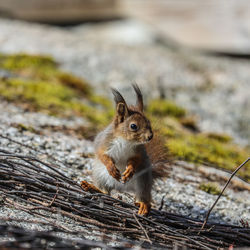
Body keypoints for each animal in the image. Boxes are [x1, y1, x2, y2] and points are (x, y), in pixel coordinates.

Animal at [81, 85, 168, 216]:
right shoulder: (103, 143)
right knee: (105, 191)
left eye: (149, 122)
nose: (150, 136)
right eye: (133, 126)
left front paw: (129, 170)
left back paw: (143, 205)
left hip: (143, 180)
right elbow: (102, 156)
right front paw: (111, 168)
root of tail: (122, 188)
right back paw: (92, 187)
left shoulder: (139, 152)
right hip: (100, 176)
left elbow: (135, 160)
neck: (126, 141)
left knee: (142, 196)